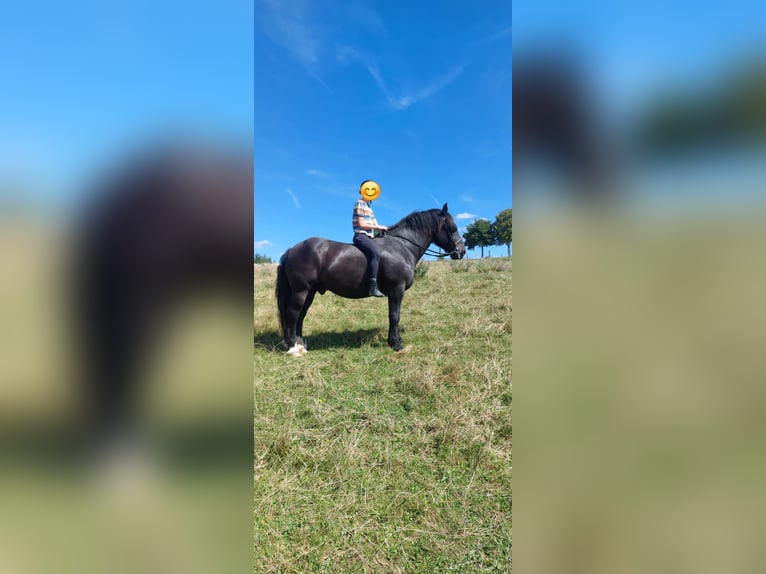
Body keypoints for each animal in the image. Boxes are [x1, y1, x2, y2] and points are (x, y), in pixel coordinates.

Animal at [276, 203, 466, 354]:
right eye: (452, 227)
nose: (462, 251)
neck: (402, 246)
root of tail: (292, 250)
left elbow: (395, 316)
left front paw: (396, 340)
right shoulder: (396, 289)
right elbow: (394, 316)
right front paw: (396, 344)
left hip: (310, 291)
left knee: (301, 315)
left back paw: (301, 344)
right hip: (301, 290)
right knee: (293, 314)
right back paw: (293, 347)